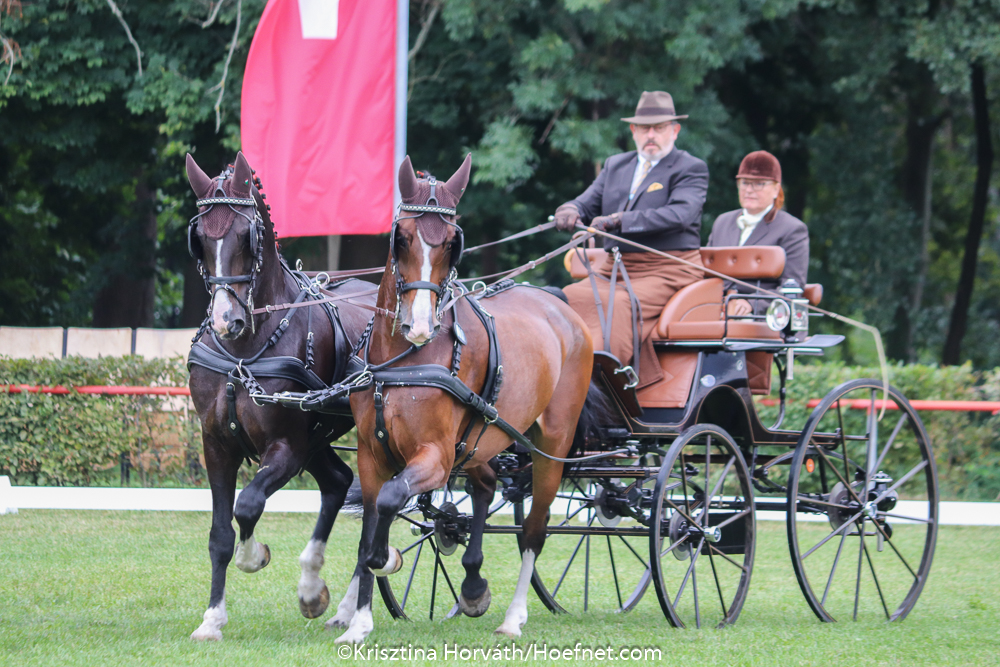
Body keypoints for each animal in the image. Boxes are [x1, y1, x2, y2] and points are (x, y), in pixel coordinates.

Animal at [186, 153, 374, 640]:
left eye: (245, 235)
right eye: (200, 238)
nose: (226, 321)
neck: (243, 352)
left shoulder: (287, 446)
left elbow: (248, 504)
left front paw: (256, 557)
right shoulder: (215, 443)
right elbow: (220, 533)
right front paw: (211, 618)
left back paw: (344, 602)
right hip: (319, 437)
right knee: (340, 483)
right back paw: (327, 597)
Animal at [332, 155, 592, 640]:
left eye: (453, 242)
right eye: (402, 237)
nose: (418, 325)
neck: (404, 359)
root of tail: (561, 308)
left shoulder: (435, 457)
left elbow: (390, 504)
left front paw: (386, 559)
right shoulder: (371, 454)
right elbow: (370, 522)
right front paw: (358, 622)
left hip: (551, 445)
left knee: (534, 529)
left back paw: (513, 617)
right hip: (479, 441)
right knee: (485, 486)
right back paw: (472, 586)